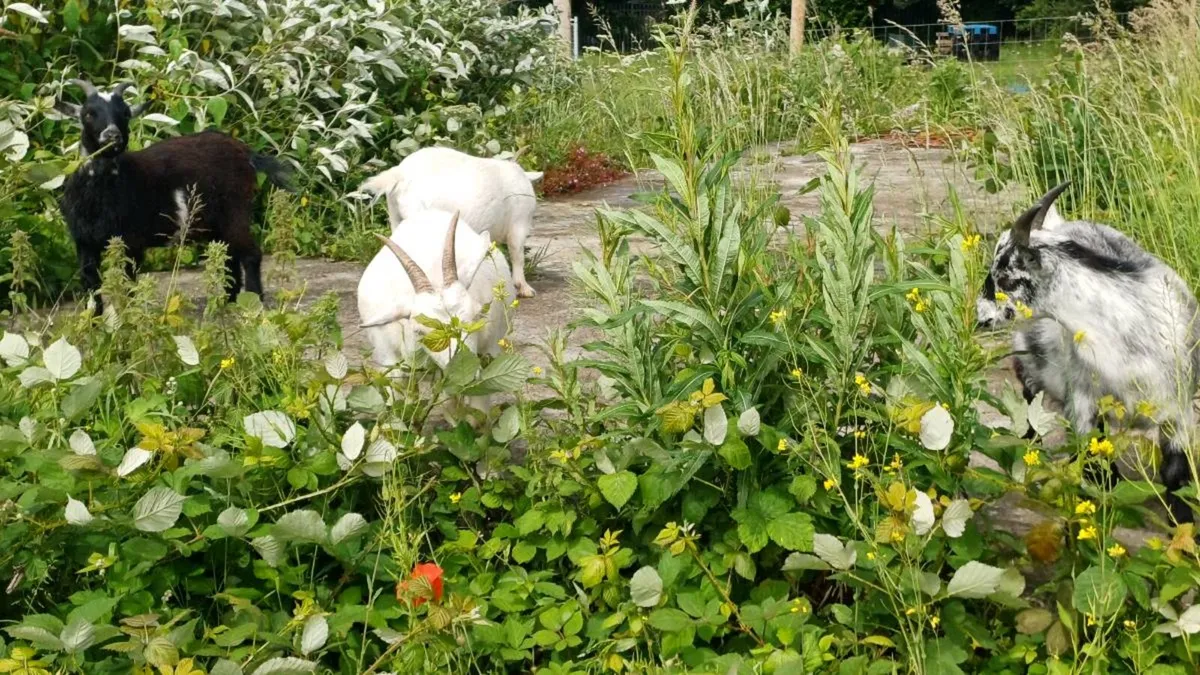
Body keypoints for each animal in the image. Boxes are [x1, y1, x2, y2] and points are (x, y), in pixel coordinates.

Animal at [53, 79, 293, 314]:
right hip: (217, 224)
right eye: (88, 113)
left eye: (125, 113)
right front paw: (94, 318)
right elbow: (90, 281)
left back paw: (254, 302)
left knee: (251, 254)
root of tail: (245, 152)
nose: (113, 136)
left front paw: (128, 317)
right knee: (230, 255)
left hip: (236, 211)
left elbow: (128, 282)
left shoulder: (131, 241)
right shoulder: (84, 242)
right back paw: (228, 301)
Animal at [977, 182, 1200, 523]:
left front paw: (1182, 523)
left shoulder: (1179, 410)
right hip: (1029, 361)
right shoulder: (1082, 401)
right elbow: (1094, 468)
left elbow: (1176, 473)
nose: (981, 315)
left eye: (1004, 278)